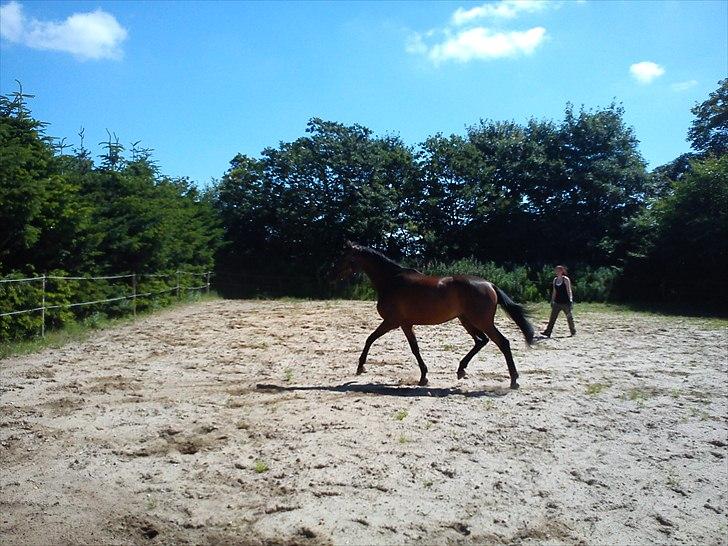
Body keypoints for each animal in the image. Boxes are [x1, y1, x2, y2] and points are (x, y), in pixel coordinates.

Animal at [336, 241, 536, 386]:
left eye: (344, 257)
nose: (331, 274)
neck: (391, 280)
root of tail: (490, 285)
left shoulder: (393, 322)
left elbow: (372, 339)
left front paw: (360, 367)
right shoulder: (405, 324)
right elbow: (412, 347)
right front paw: (424, 376)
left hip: (482, 321)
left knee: (502, 342)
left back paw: (514, 380)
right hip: (466, 320)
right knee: (481, 341)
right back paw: (461, 370)